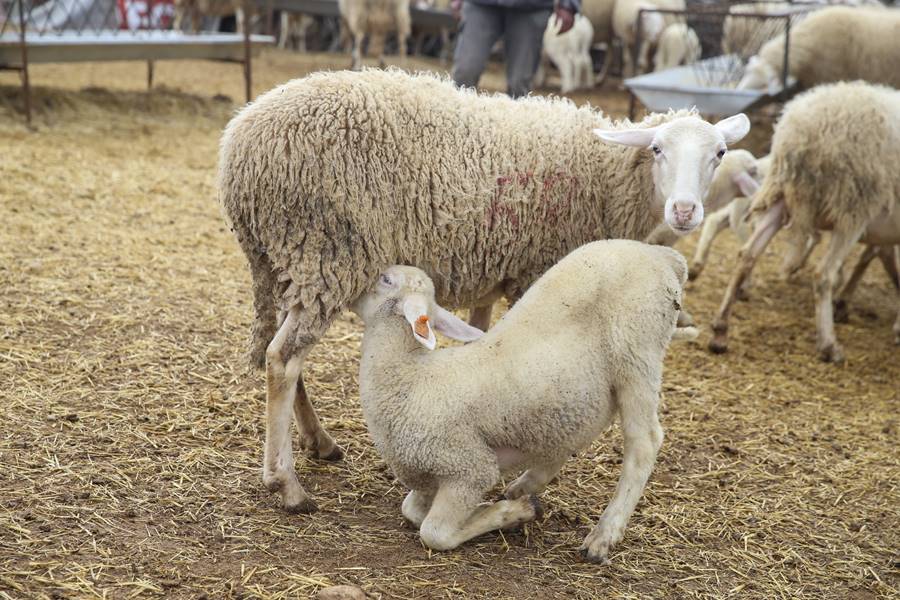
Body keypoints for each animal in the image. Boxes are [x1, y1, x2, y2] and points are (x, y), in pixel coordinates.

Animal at [218, 69, 752, 510]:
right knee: (282, 359)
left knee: (286, 355)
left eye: (718, 154)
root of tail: (238, 145)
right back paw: (286, 484)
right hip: (328, 250)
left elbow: (481, 336)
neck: (609, 177)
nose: (685, 211)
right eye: (658, 149)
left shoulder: (494, 273)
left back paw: (319, 442)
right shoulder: (535, 271)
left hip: (289, 263)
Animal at [352, 240, 696, 564]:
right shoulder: (426, 477)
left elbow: (434, 532)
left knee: (644, 442)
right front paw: (497, 509)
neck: (410, 375)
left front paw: (509, 513)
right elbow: (411, 510)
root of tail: (662, 255)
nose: (355, 293)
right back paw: (525, 485)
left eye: (385, 279)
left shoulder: (468, 468)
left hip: (637, 350)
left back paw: (603, 534)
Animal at [712, 82, 900, 364]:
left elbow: (879, 258)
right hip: (853, 206)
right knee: (823, 273)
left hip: (783, 196)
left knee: (746, 256)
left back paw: (720, 331)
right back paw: (829, 345)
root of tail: (800, 129)